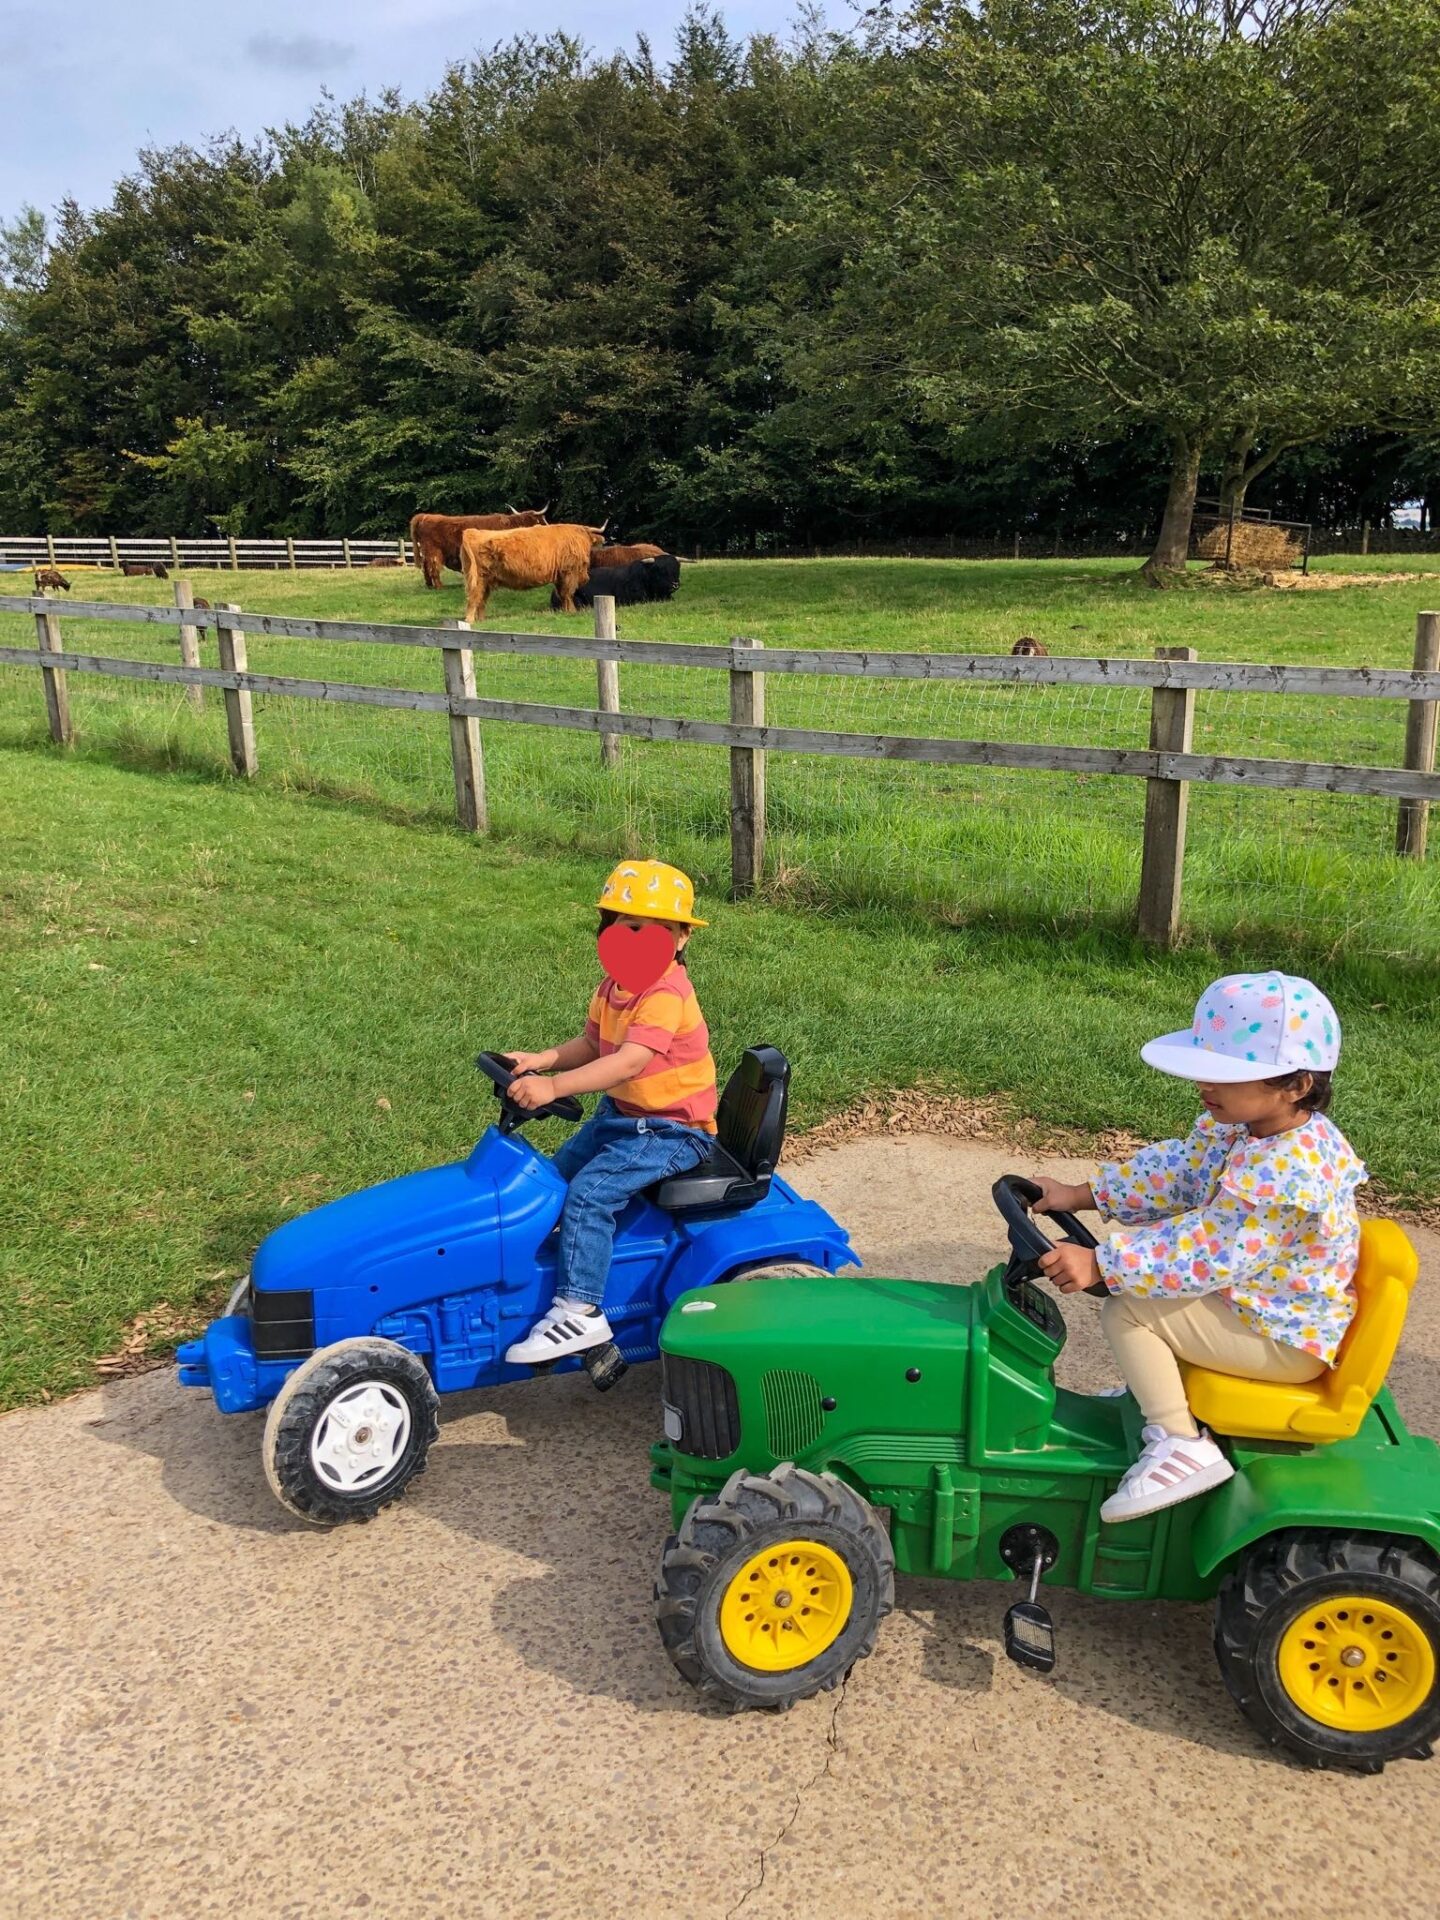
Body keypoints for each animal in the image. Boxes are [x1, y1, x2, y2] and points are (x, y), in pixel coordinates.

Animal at [416, 506, 556, 587]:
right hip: (433, 551)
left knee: (425, 566)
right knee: (433, 567)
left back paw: (429, 584)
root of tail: (425, 516)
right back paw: (439, 586)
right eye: (542, 520)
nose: (550, 526)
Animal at [464, 522, 606, 618]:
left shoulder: (560, 576)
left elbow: (562, 595)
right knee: (474, 599)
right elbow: (568, 594)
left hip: (486, 581)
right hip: (479, 578)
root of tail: (472, 532)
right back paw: (470, 621)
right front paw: (572, 612)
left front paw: (565, 611)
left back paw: (482, 620)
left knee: (481, 600)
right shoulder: (569, 573)